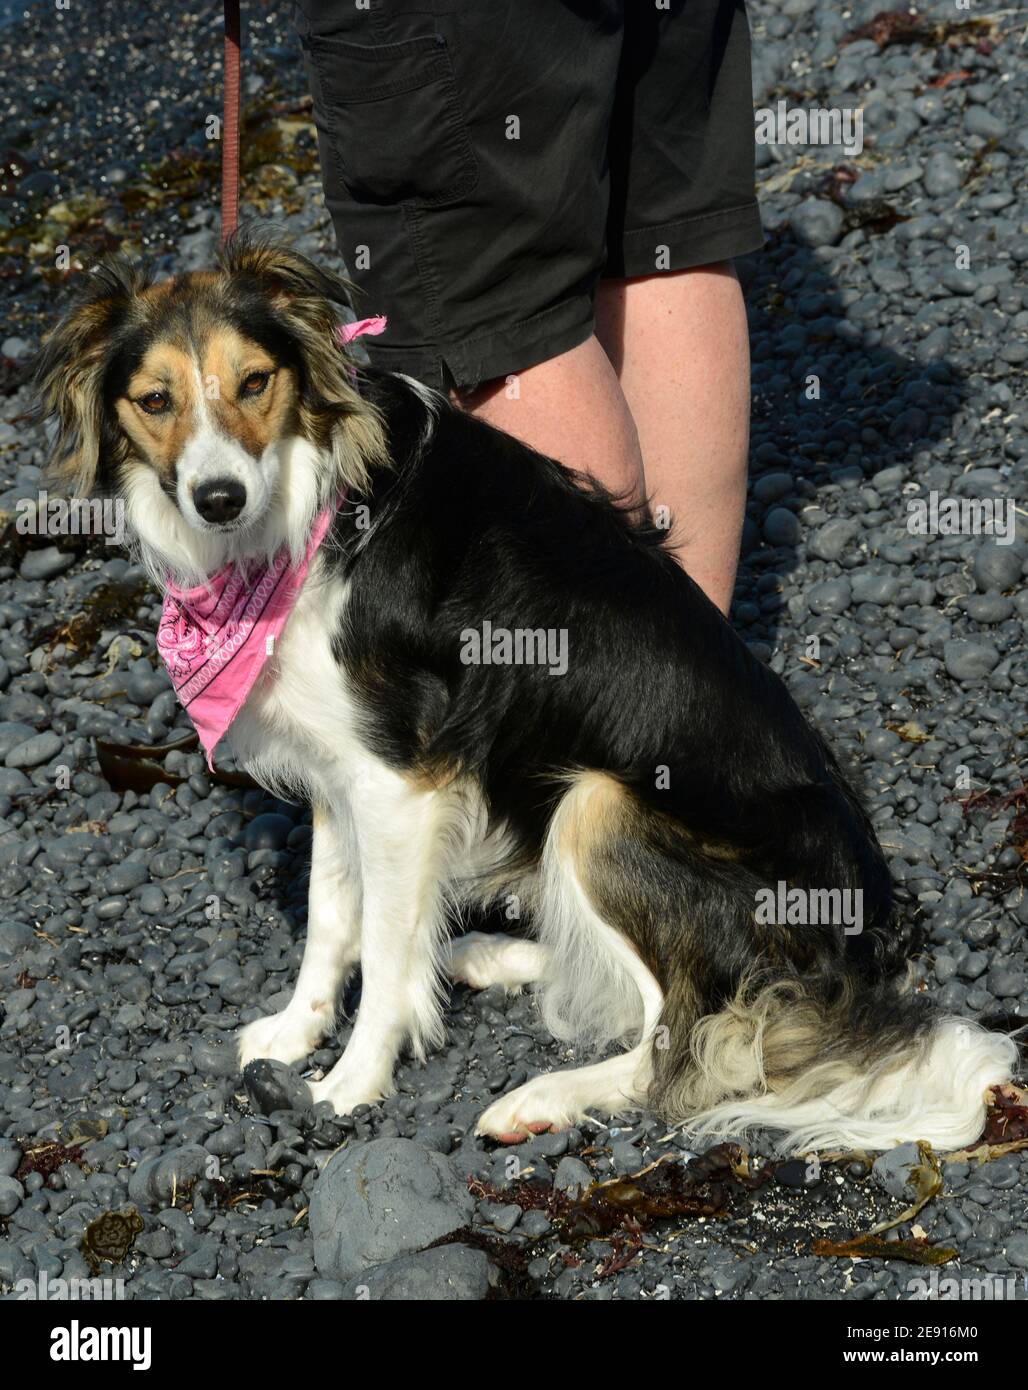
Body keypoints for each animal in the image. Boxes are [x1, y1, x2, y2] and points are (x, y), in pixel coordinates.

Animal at [34, 236, 1022, 1150]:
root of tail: (869, 950)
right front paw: (294, 1030)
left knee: (692, 1037)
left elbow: (384, 949)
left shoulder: (401, 780)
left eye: (255, 381)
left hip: (600, 806)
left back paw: (540, 1096)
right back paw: (491, 955)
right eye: (155, 400)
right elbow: (329, 918)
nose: (219, 498)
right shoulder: (341, 763)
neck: (306, 499)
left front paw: (351, 1082)